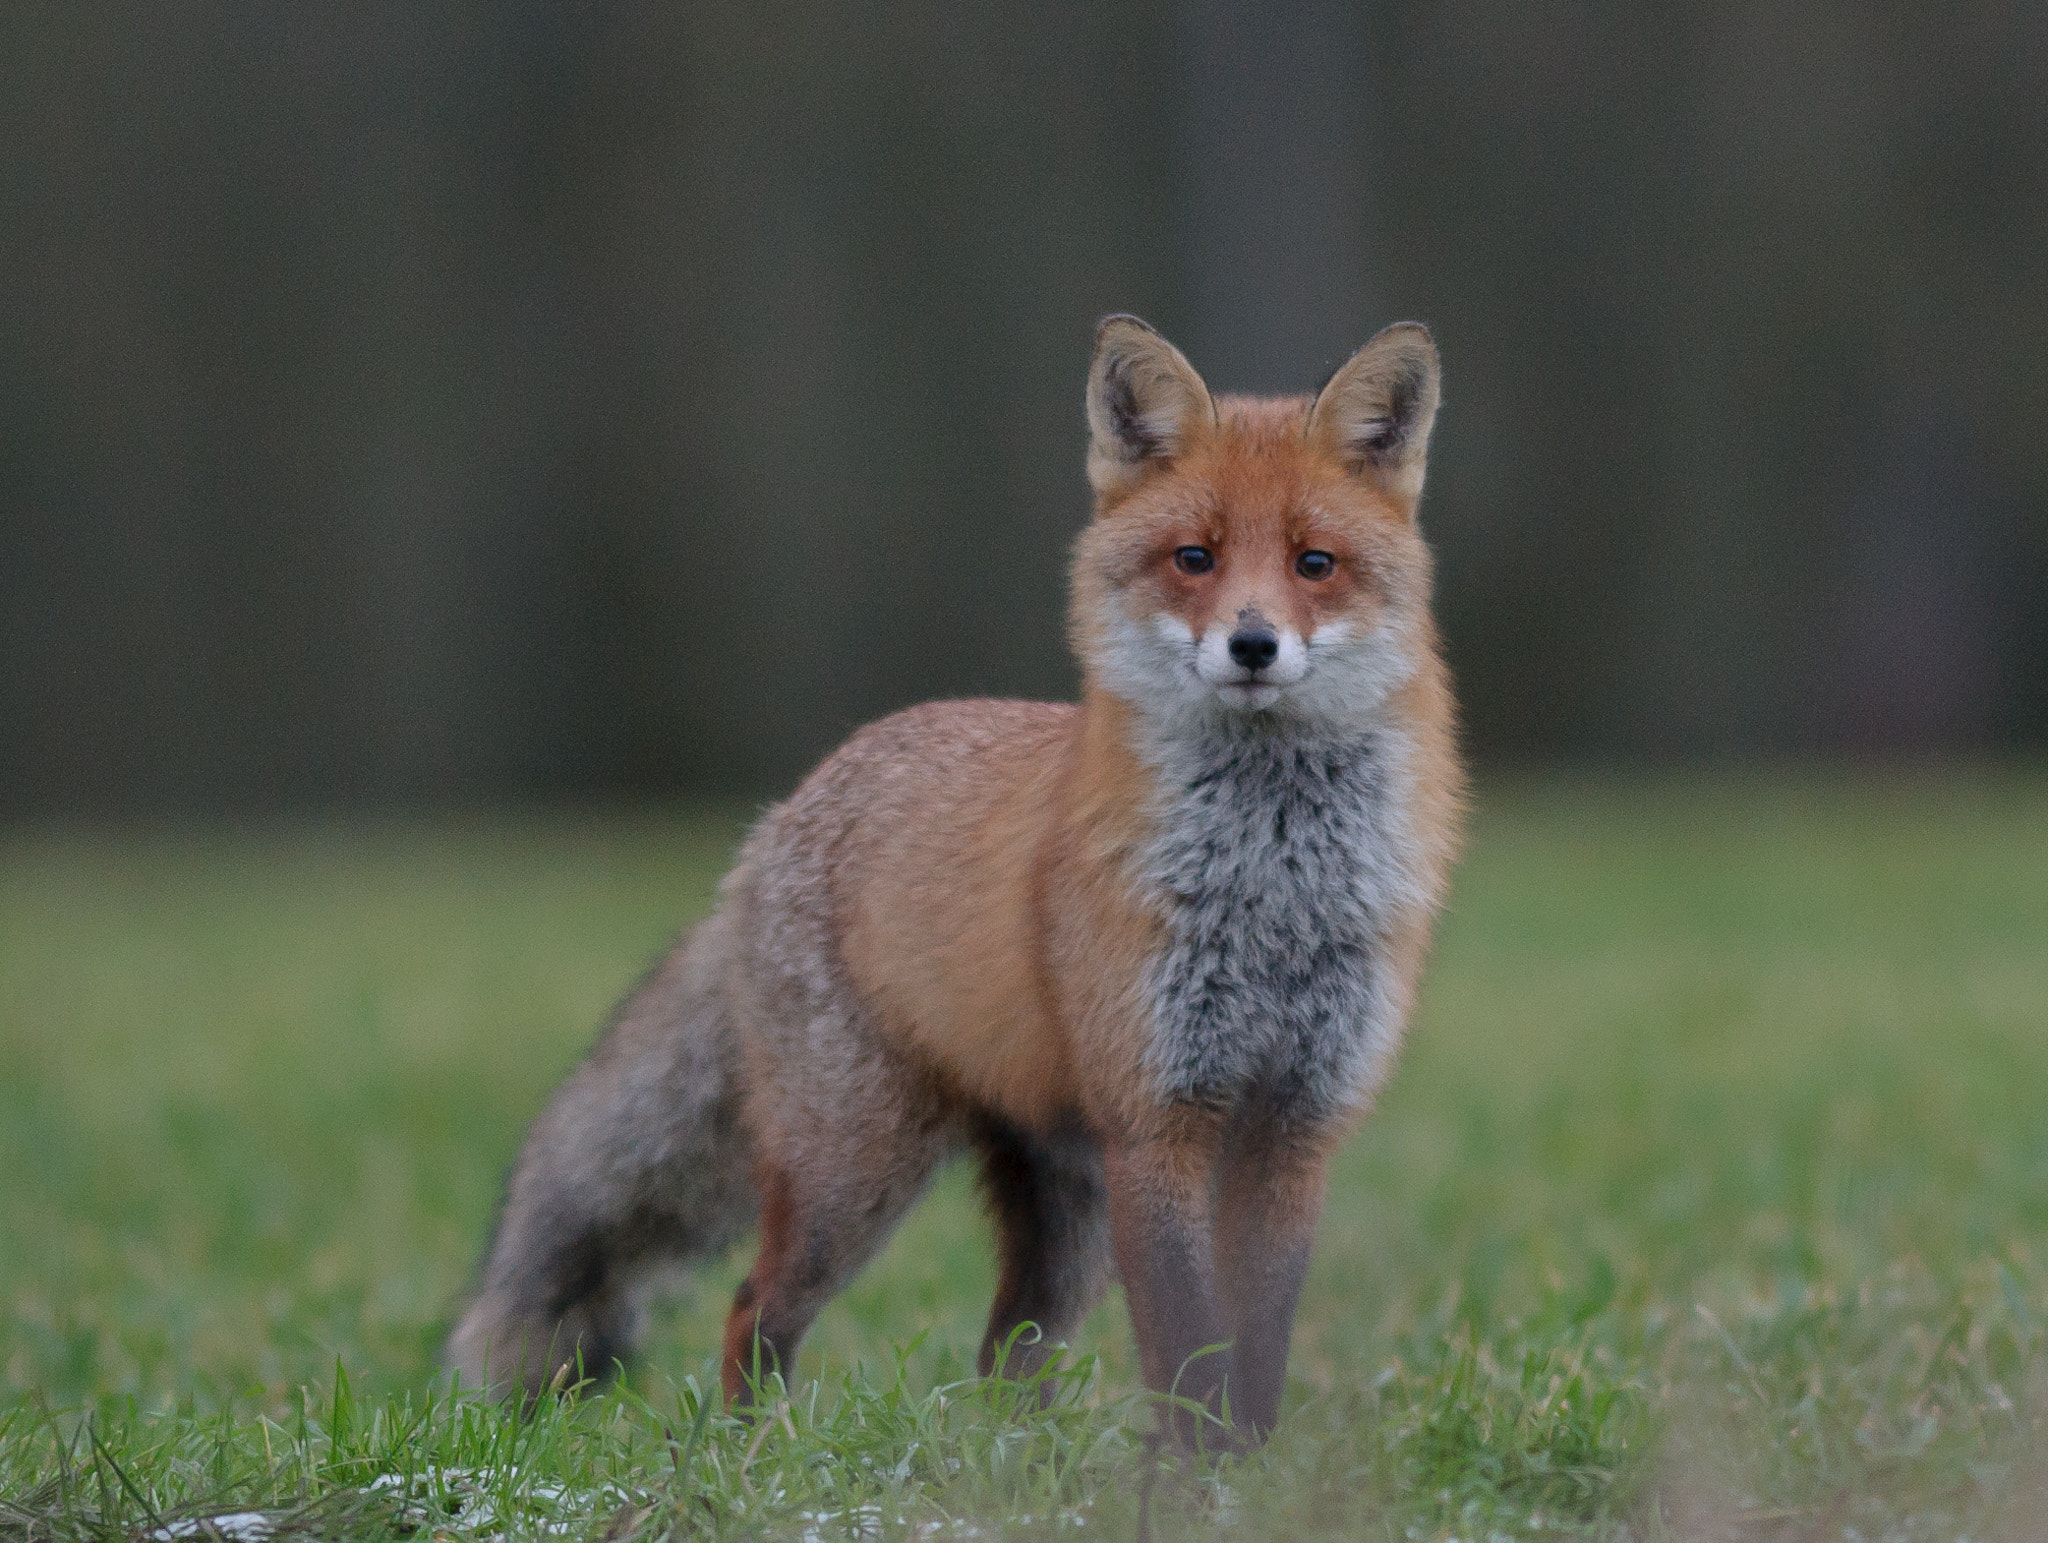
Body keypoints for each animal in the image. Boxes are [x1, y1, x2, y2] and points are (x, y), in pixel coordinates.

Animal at [445, 315, 1463, 1447]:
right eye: (1193, 559)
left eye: (1313, 563)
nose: (1252, 643)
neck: (1273, 888)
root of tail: (781, 814)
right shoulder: (1158, 1120)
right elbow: (1187, 1352)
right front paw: (1198, 1472)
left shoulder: (1293, 1127)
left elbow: (1255, 1349)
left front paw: (1250, 1466)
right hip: (860, 1171)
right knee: (754, 1305)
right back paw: (760, 1452)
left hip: (1063, 1210)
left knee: (1005, 1352)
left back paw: (1011, 1462)